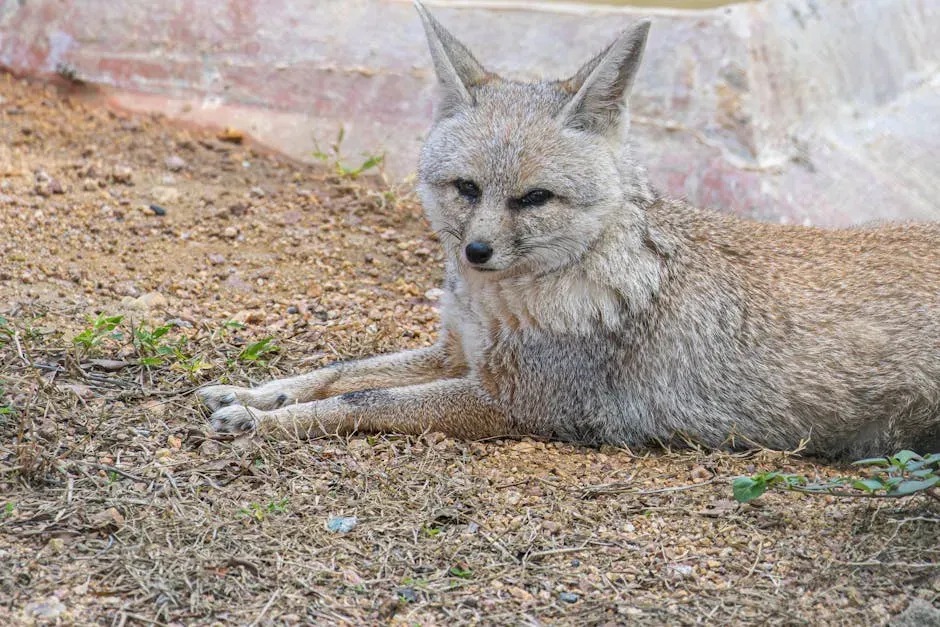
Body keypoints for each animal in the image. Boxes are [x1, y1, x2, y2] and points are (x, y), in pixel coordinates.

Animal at [198, 1, 940, 460]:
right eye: (466, 189)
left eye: (534, 198)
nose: (477, 252)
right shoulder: (457, 353)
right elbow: (342, 369)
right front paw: (257, 392)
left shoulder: (511, 402)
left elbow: (363, 394)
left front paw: (263, 420)